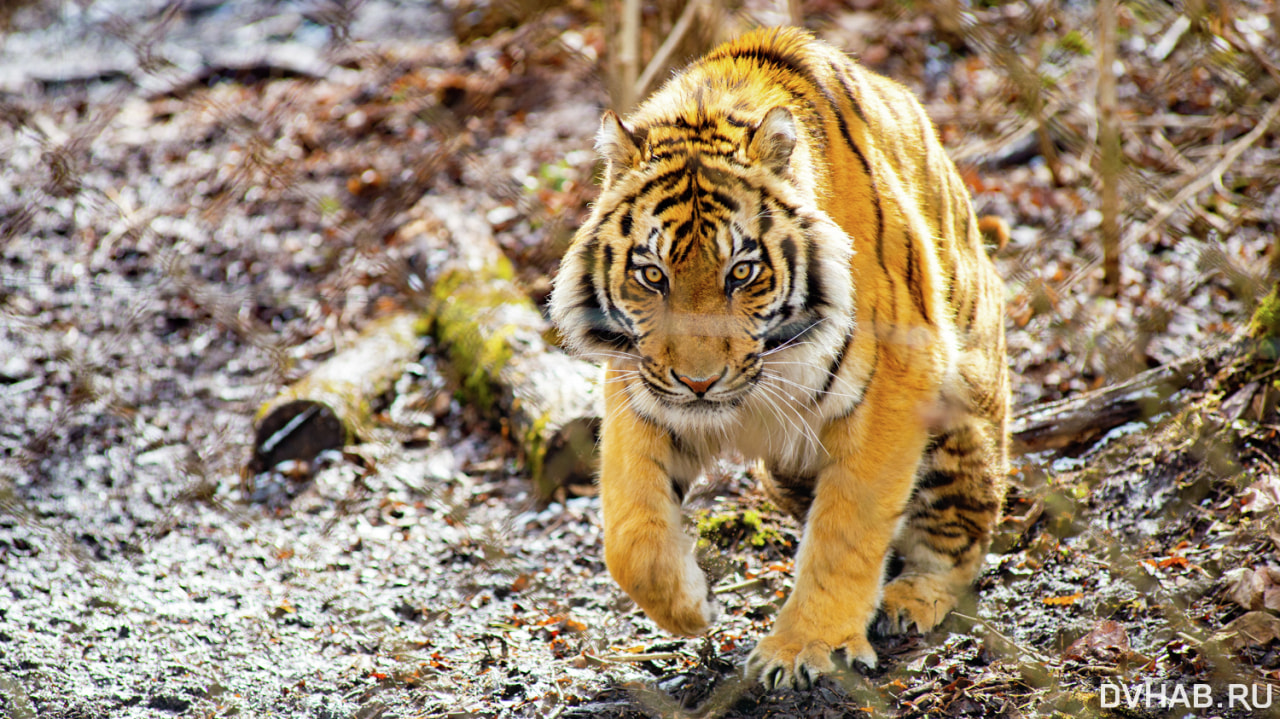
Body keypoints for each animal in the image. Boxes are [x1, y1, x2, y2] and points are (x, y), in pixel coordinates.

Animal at [547, 26, 1008, 690]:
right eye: (652, 275)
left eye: (742, 272)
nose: (699, 383)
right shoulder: (642, 385)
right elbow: (630, 534)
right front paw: (693, 606)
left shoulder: (897, 381)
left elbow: (847, 528)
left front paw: (806, 646)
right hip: (785, 474)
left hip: (958, 421)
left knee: (966, 536)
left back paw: (910, 600)